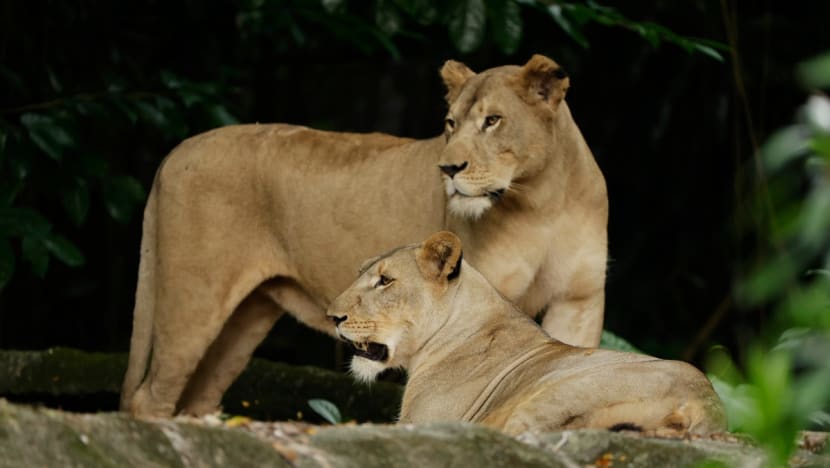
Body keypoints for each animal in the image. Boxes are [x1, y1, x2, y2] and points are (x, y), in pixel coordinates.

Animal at [121, 55, 608, 417]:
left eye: (493, 120)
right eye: (450, 124)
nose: (448, 168)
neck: (541, 200)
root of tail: (177, 149)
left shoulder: (578, 301)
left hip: (246, 316)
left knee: (197, 399)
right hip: (194, 300)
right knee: (152, 398)